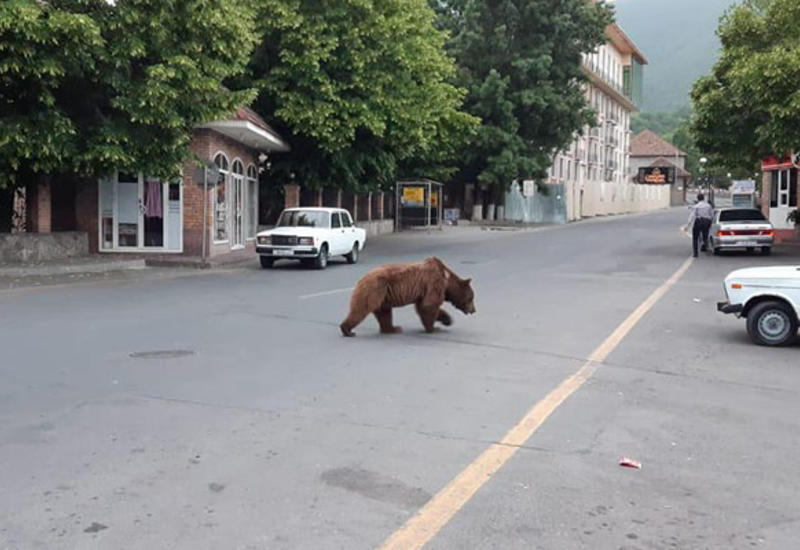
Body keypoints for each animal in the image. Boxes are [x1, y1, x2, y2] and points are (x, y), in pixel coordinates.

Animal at [339, 257, 476, 337]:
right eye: (471, 298)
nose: (474, 310)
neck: (447, 281)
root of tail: (361, 278)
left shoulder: (423, 291)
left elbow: (423, 306)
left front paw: (447, 320)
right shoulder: (434, 282)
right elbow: (430, 304)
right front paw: (433, 328)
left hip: (382, 295)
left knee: (384, 313)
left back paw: (392, 329)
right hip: (374, 288)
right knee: (361, 308)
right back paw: (347, 330)